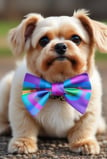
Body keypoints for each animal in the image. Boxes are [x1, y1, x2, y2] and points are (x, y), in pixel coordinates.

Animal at [0, 9, 107, 155]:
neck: (59, 83)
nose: (60, 46)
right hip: (5, 87)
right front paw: (23, 142)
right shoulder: (19, 106)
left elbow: (84, 127)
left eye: (76, 39)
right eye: (44, 40)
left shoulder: (90, 108)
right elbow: (23, 125)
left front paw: (84, 142)